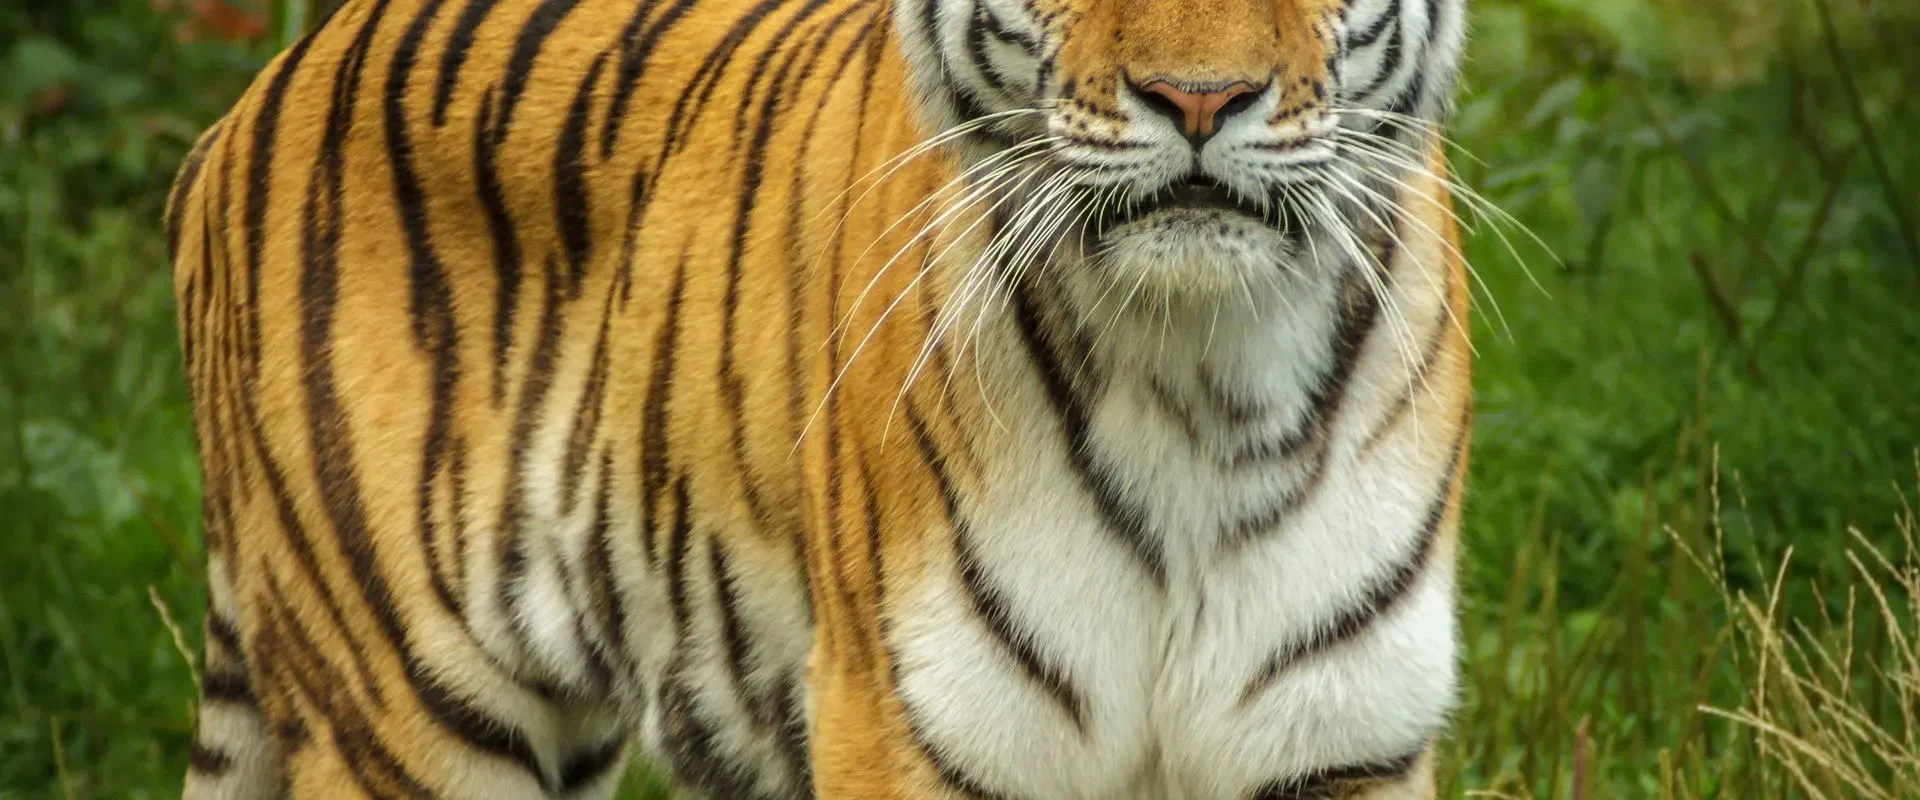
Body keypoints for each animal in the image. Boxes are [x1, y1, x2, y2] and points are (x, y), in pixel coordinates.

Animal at [165, 0, 1472, 794]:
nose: (1198, 99)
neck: (1208, 377)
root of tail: (256, 96)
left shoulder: (1344, 732)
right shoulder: (909, 723)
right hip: (407, 712)